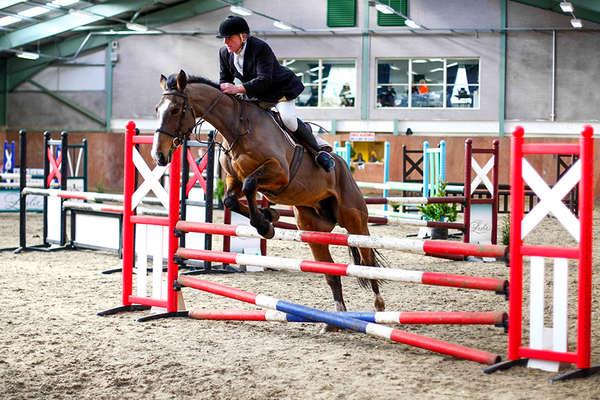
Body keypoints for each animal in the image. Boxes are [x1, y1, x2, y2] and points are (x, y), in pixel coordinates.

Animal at [150, 71, 384, 322]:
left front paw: (265, 225)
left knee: (367, 261)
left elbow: (251, 185)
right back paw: (335, 320)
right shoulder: (234, 180)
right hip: (313, 229)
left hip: (354, 220)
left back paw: (379, 307)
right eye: (157, 109)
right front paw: (269, 216)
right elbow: (231, 199)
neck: (237, 128)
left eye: (175, 110)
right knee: (331, 271)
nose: (158, 156)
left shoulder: (279, 172)